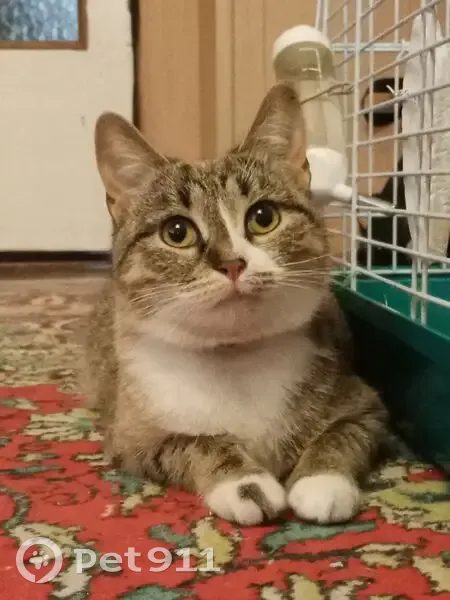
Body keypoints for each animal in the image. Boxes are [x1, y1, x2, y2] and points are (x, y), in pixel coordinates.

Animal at [82, 81, 388, 526]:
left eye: (263, 216)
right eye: (177, 232)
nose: (231, 263)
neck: (234, 358)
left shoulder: (367, 404)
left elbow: (345, 431)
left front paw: (322, 480)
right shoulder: (130, 439)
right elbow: (194, 442)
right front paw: (244, 482)